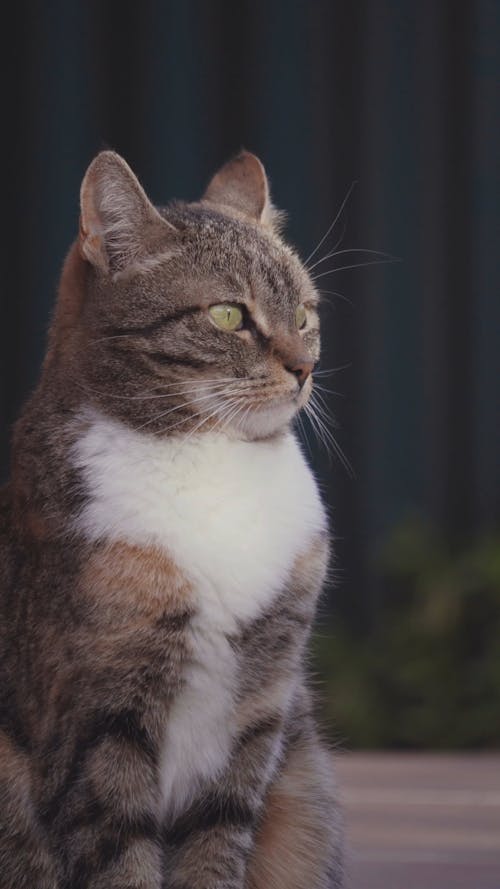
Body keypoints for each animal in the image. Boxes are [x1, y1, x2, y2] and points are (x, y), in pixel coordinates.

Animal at [0, 149, 344, 884]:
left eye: (305, 313)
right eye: (227, 315)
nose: (305, 367)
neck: (212, 456)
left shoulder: (261, 707)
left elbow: (217, 841)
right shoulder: (97, 714)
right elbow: (116, 851)